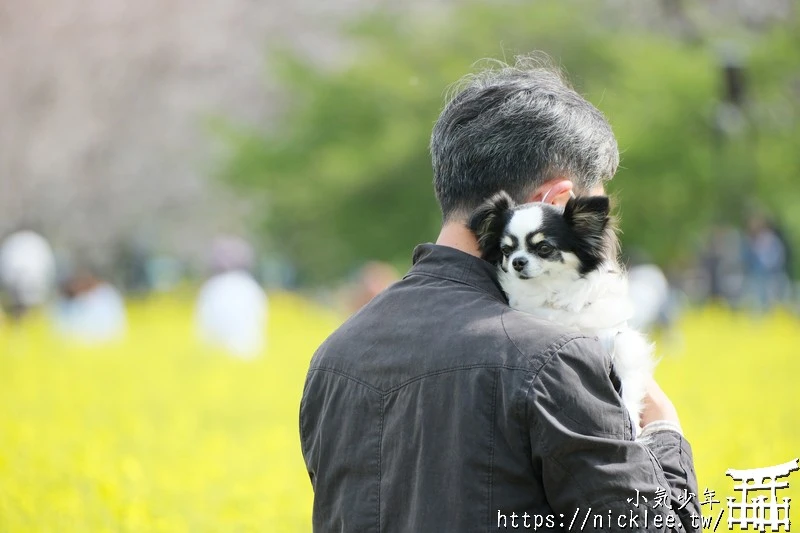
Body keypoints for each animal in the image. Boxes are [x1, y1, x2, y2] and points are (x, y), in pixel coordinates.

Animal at [468, 191, 656, 428]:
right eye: (506, 250)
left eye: (544, 248)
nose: (517, 261)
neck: (552, 291)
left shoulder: (620, 340)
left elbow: (628, 383)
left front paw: (632, 417)